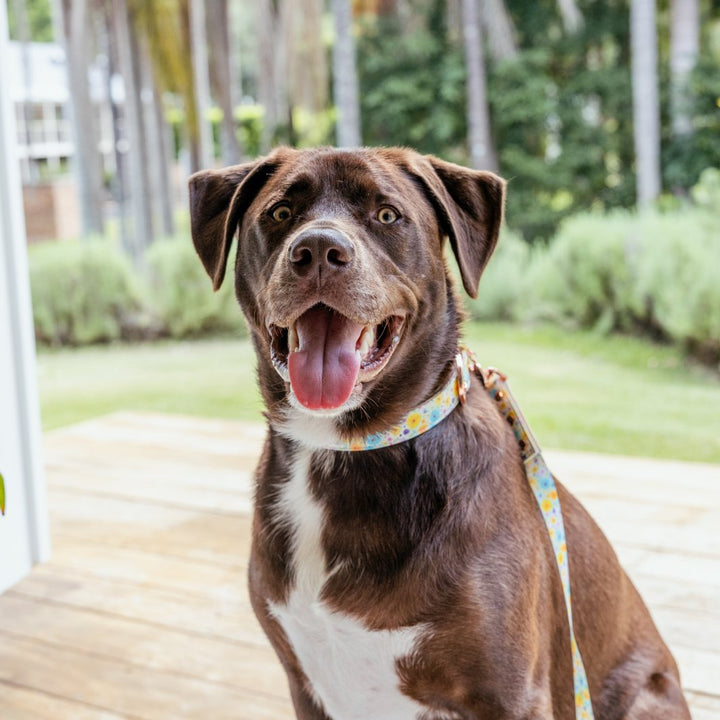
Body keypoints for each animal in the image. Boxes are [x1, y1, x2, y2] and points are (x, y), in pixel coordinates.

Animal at [188, 146, 688, 720]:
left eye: (387, 215)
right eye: (280, 213)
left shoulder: (511, 695)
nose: (317, 250)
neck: (345, 447)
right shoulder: (305, 684)